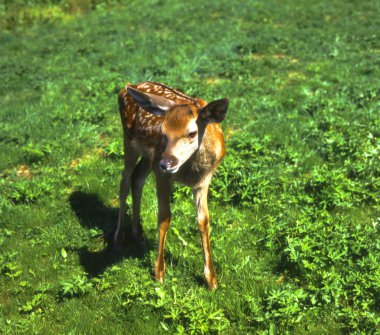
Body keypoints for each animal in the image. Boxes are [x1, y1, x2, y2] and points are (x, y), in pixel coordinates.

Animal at [114, 82, 229, 292]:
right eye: (163, 132)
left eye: (192, 133)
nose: (167, 163)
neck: (190, 172)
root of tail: (127, 88)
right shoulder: (162, 176)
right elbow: (164, 218)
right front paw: (159, 272)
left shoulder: (204, 180)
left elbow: (203, 221)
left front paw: (211, 280)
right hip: (130, 142)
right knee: (124, 181)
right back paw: (119, 239)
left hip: (148, 157)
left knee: (137, 179)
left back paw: (137, 235)